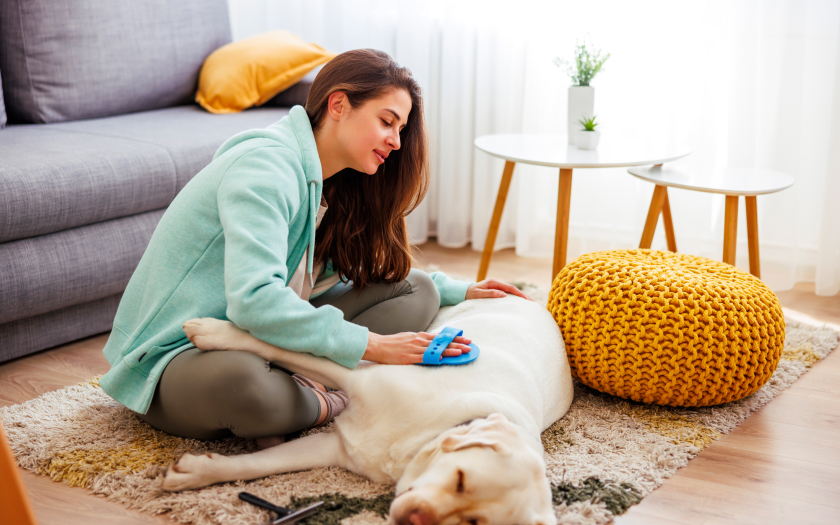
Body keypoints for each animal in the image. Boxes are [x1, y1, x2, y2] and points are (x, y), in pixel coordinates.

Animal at [162, 294, 576, 524]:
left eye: (473, 522)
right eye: (461, 478)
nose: (417, 519)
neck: (425, 437)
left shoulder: (334, 448)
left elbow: (261, 465)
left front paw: (195, 472)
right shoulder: (357, 375)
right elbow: (289, 348)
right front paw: (214, 331)